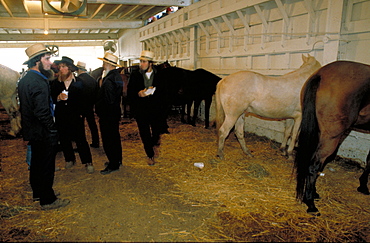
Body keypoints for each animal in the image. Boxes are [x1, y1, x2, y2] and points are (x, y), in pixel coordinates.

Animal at [294, 60, 370, 215]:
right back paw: (310, 203)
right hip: (332, 137)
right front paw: (363, 186)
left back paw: (313, 194)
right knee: (314, 164)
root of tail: (320, 74)